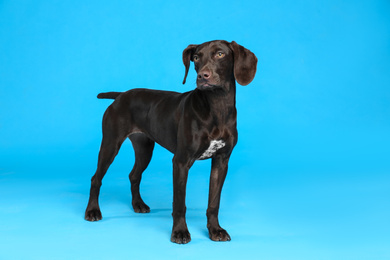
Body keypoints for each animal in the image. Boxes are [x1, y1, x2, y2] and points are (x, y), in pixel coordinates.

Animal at [84, 39, 258, 244]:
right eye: (196, 57)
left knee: (134, 175)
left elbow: (214, 202)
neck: (217, 107)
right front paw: (180, 232)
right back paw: (92, 211)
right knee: (96, 178)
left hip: (144, 149)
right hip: (110, 144)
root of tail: (121, 95)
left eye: (220, 54)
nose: (202, 76)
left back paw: (138, 204)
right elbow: (180, 203)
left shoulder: (221, 162)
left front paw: (215, 230)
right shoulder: (181, 162)